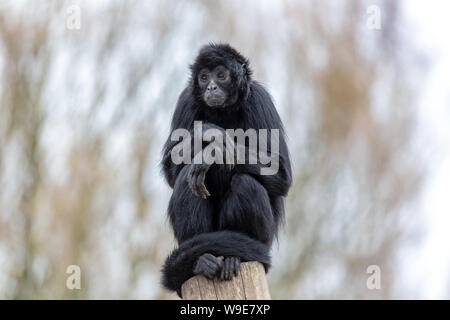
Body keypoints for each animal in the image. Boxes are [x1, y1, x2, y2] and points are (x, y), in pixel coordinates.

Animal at [162, 43, 292, 296]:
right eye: (204, 77)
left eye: (220, 75)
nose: (211, 86)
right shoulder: (186, 100)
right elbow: (171, 171)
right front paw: (210, 134)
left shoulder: (258, 98)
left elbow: (281, 174)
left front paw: (212, 151)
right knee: (186, 178)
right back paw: (202, 260)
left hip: (265, 237)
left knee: (245, 182)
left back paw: (234, 257)